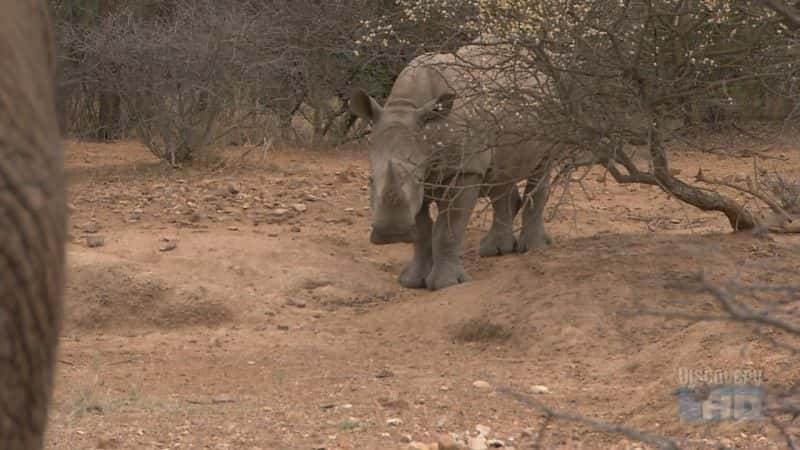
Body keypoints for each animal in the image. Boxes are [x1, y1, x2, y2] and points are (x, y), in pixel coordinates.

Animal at [354, 41, 552, 288]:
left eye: (417, 178)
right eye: (370, 181)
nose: (392, 235)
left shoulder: (465, 170)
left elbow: (448, 228)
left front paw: (445, 284)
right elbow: (422, 231)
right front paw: (412, 282)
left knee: (542, 166)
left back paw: (534, 248)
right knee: (500, 177)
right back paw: (496, 251)